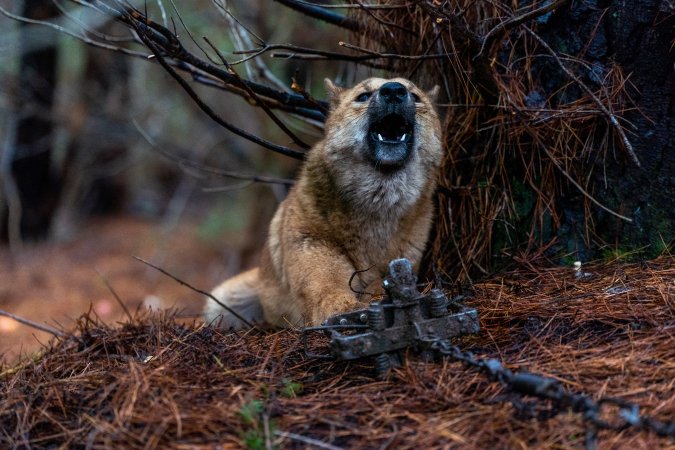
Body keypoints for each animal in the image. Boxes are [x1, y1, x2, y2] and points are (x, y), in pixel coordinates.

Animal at [205, 77, 448, 328]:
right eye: (363, 96)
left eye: (415, 96)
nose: (393, 91)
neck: (378, 202)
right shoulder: (313, 250)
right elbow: (329, 291)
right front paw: (346, 310)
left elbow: (381, 284)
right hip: (222, 300)